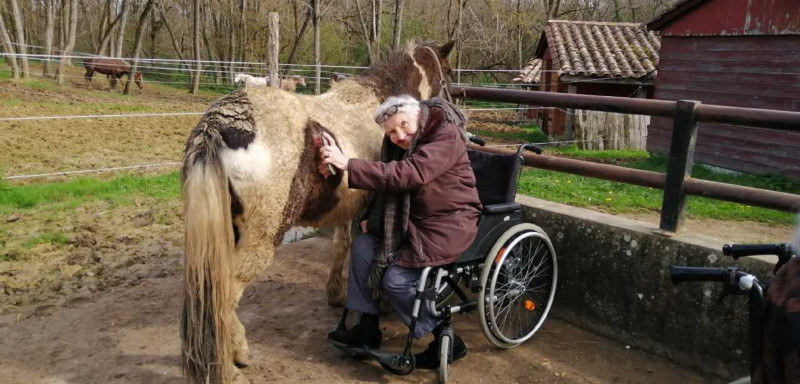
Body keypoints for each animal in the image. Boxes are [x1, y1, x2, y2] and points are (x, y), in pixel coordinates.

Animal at [182, 39, 456, 384]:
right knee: (224, 295)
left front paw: (336, 294)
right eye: (448, 73)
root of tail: (217, 126)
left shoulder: (349, 209)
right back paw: (232, 365)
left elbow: (341, 247)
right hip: (258, 240)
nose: (452, 108)